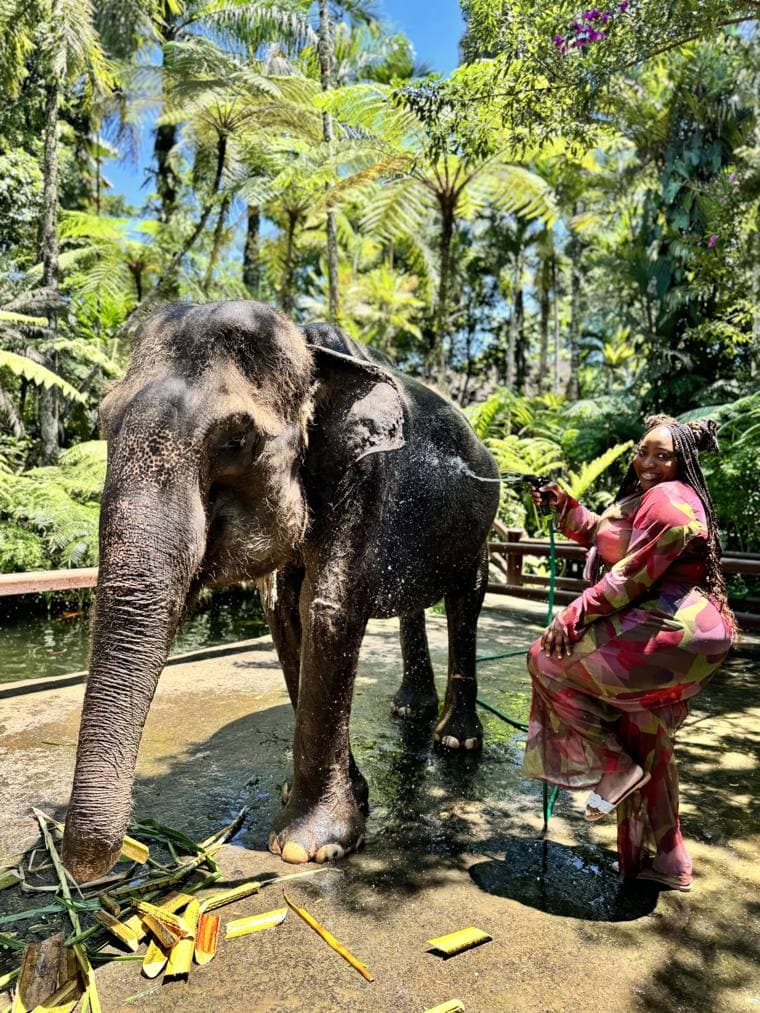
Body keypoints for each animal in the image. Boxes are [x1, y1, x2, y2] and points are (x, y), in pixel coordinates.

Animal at [61, 300, 499, 881]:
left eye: (234, 440)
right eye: (104, 422)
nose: (88, 873)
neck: (310, 346)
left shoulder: (361, 474)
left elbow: (327, 608)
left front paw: (307, 849)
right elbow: (283, 614)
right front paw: (341, 796)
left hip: (482, 521)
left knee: (467, 595)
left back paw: (455, 739)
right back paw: (410, 709)